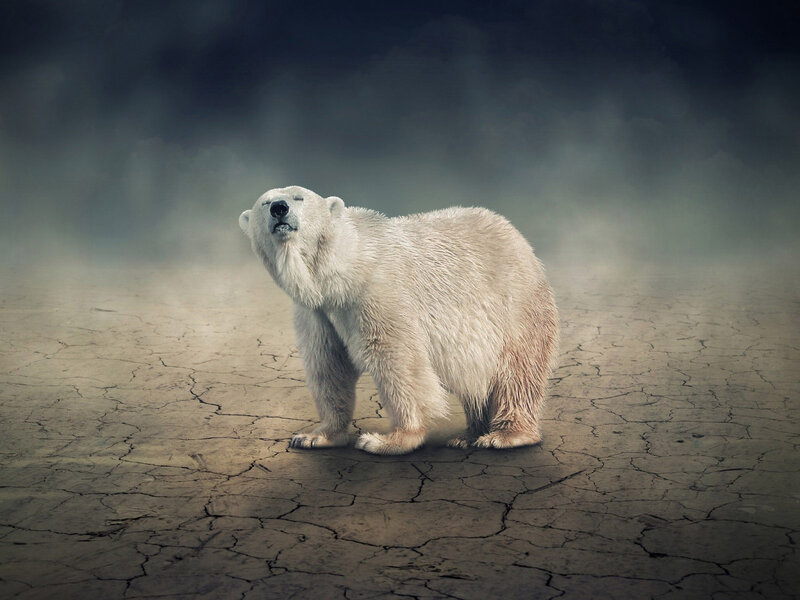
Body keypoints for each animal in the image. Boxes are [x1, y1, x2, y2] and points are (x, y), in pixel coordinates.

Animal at [239, 185, 559, 455]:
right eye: (265, 202)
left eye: (299, 197)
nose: (279, 208)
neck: (343, 269)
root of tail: (519, 239)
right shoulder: (317, 312)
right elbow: (328, 365)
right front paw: (315, 436)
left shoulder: (379, 292)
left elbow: (397, 360)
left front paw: (388, 440)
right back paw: (468, 435)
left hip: (514, 306)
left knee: (516, 371)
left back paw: (504, 436)